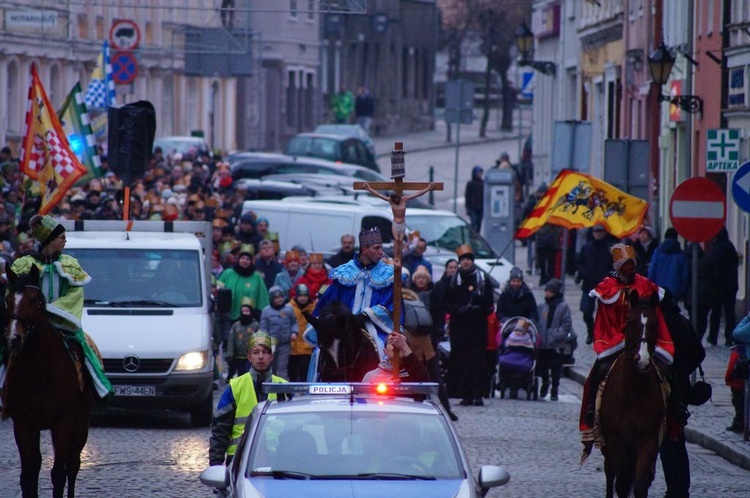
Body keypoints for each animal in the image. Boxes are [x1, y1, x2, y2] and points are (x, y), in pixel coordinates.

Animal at [2, 266, 96, 496]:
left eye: (36, 300)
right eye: (8, 299)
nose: (13, 338)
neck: (40, 370)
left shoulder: (63, 423)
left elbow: (58, 474)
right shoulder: (24, 424)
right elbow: (29, 475)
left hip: (81, 424)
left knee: (72, 465)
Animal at [600, 292, 668, 498]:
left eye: (655, 324)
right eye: (630, 322)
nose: (642, 360)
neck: (634, 392)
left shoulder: (648, 440)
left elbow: (640, 484)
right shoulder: (616, 442)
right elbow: (621, 483)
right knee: (610, 473)